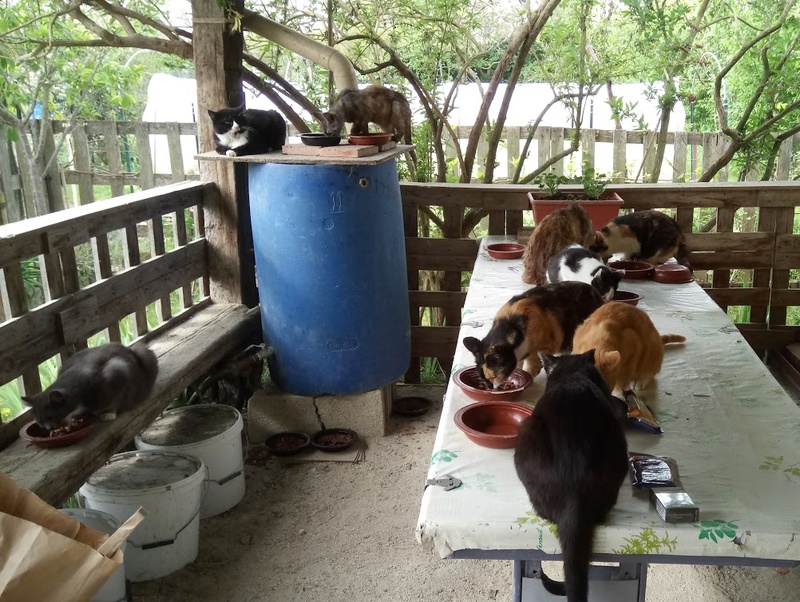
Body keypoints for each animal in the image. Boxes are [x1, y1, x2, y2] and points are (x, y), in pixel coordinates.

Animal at [21, 340, 159, 428]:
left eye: (50, 417)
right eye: (39, 422)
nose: (49, 429)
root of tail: (127, 347)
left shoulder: (117, 373)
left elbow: (116, 400)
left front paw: (109, 414)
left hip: (143, 353)